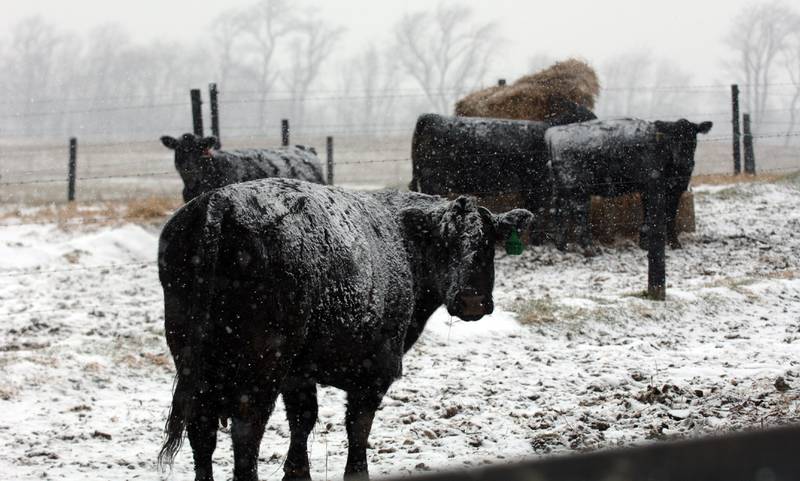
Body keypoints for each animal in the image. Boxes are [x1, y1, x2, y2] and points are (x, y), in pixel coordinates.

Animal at [156, 178, 533, 481]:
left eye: (489, 245)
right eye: (444, 244)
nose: (472, 301)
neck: (404, 241)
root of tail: (220, 199)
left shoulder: (299, 373)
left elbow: (303, 421)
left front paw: (297, 474)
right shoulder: (375, 371)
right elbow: (358, 428)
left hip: (191, 355)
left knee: (201, 429)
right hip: (262, 362)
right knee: (246, 432)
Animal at [545, 118, 713, 252]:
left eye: (692, 138)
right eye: (672, 139)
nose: (685, 162)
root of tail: (554, 133)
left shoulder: (667, 190)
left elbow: (660, 215)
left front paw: (656, 243)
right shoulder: (655, 188)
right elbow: (659, 216)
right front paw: (663, 244)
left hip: (562, 189)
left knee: (560, 212)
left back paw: (562, 246)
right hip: (577, 187)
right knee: (579, 213)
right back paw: (589, 248)